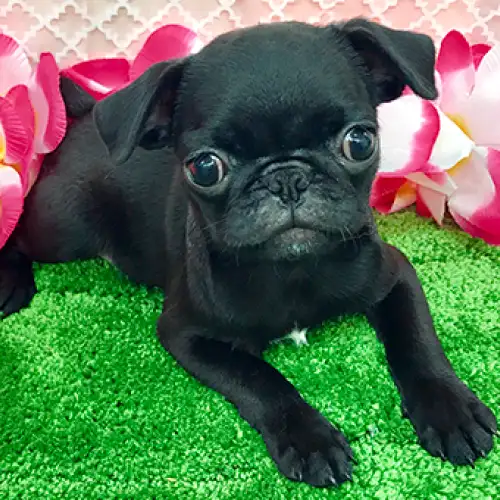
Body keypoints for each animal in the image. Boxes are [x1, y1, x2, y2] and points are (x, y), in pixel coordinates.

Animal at [1, 19, 497, 487]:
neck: (292, 269)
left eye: (359, 142)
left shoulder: (394, 275)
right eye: (205, 167)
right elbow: (260, 379)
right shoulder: (188, 335)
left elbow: (417, 341)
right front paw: (309, 439)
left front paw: (450, 408)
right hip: (62, 228)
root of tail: (83, 115)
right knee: (19, 232)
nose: (287, 178)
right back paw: (12, 282)